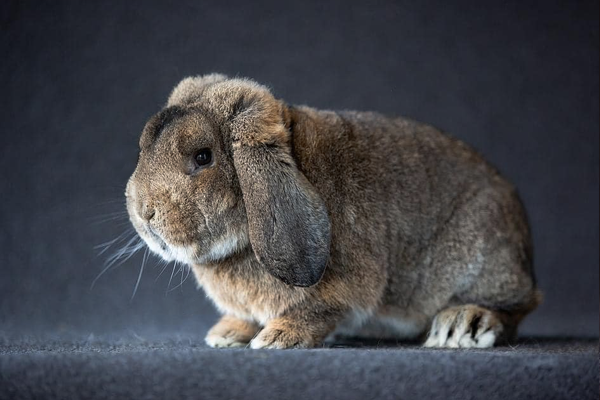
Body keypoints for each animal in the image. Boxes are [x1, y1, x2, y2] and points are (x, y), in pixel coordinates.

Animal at [124, 73, 540, 348]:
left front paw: (277, 338)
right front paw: (226, 334)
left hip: (482, 260)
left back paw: (461, 325)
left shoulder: (348, 287)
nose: (144, 213)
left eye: (202, 156)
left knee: (517, 307)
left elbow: (319, 310)